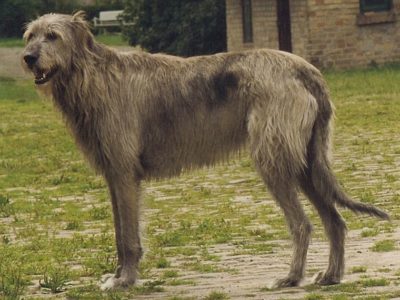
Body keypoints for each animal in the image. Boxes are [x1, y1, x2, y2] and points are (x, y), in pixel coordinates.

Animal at [21, 12, 388, 290]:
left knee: (302, 224)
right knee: (335, 221)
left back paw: (290, 277)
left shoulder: (124, 173)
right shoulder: (114, 175)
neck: (93, 77)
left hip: (274, 161)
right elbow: (118, 232)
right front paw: (118, 276)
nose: (28, 58)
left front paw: (124, 281)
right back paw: (330, 276)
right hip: (306, 163)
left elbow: (128, 237)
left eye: (52, 36)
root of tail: (307, 69)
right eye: (30, 36)